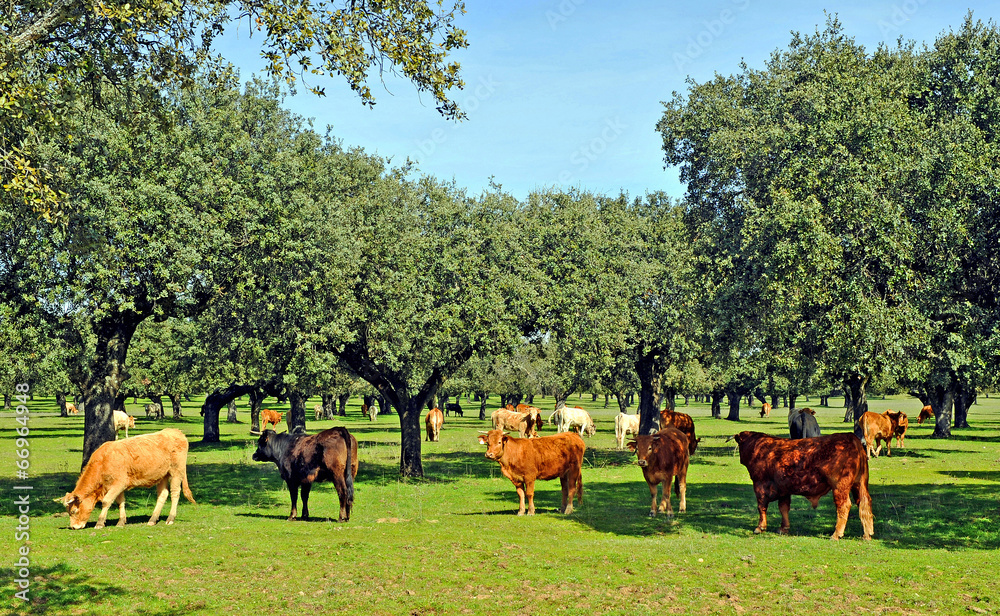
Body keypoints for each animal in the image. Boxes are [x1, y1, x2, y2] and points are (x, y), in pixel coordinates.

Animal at [55, 428, 197, 528]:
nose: (74, 527)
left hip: (176, 471)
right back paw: (152, 519)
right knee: (163, 495)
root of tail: (175, 431)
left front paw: (100, 523)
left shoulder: (118, 483)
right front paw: (121, 521)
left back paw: (170, 518)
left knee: (175, 493)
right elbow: (120, 502)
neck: (103, 461)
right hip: (162, 475)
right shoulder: (119, 486)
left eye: (74, 511)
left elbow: (106, 501)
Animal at [728, 430, 876, 540]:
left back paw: (836, 534)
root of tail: (851, 437)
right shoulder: (784, 489)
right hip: (859, 485)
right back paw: (867, 534)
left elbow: (761, 507)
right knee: (864, 503)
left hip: (840, 487)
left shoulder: (759, 485)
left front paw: (760, 527)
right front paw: (784, 528)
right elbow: (783, 508)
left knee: (844, 506)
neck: (760, 448)